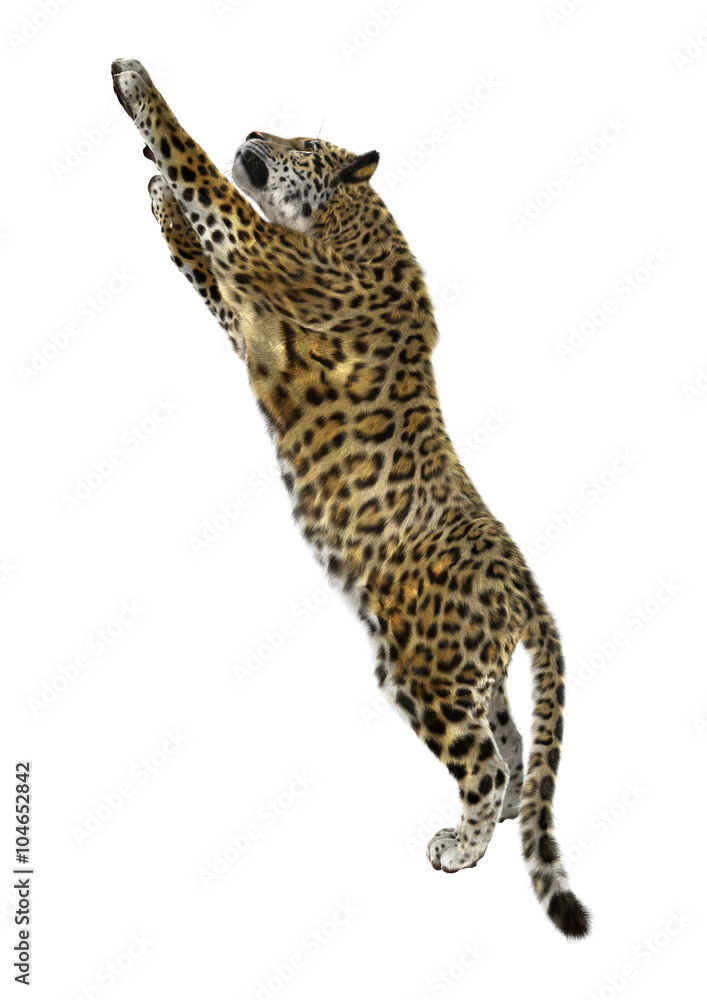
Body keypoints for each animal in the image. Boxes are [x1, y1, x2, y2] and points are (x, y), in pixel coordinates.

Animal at [111, 58, 591, 938]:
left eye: (300, 140)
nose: (254, 128)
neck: (342, 215)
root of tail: (526, 589)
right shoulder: (242, 307)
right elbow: (192, 245)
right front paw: (157, 189)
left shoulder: (257, 253)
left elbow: (202, 176)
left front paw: (139, 90)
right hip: (465, 668)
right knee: (509, 745)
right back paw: (505, 815)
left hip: (419, 668)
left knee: (479, 760)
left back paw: (460, 847)